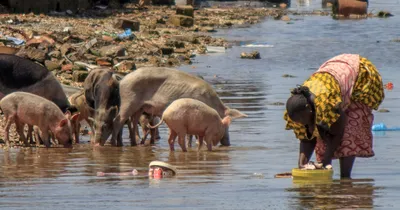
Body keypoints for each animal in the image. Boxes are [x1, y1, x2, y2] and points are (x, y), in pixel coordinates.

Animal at [110, 67, 247, 146]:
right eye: (224, 124)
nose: (227, 144)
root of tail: (123, 80)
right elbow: (190, 134)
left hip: (140, 107)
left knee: (133, 122)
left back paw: (135, 144)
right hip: (128, 100)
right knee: (117, 121)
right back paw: (115, 144)